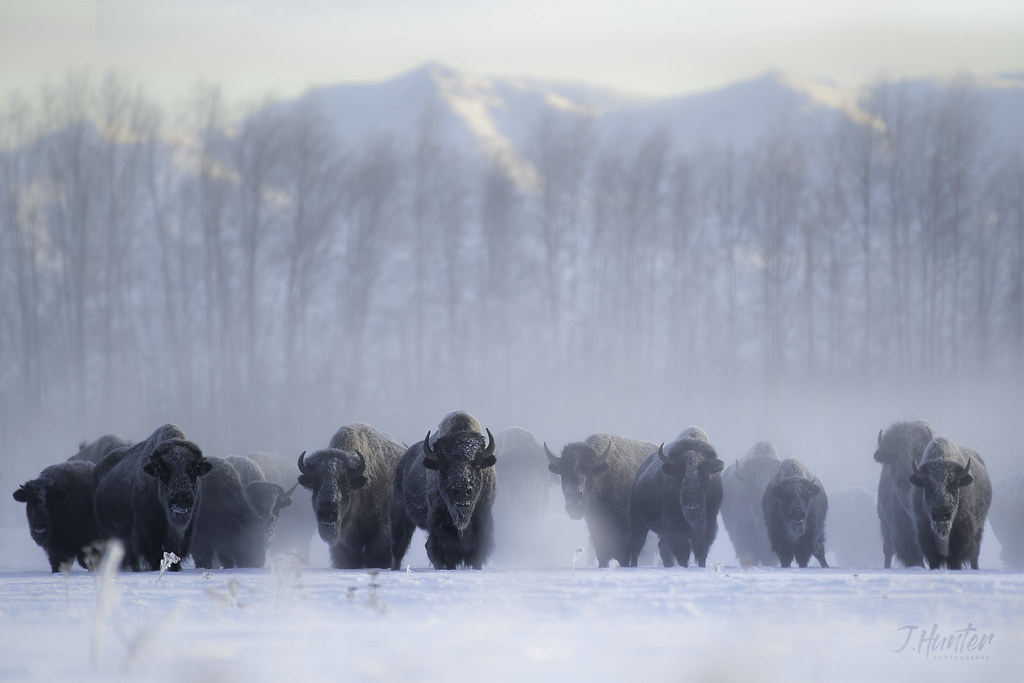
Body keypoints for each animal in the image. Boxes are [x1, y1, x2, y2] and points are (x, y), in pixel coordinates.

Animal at [390, 411, 497, 570]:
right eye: (444, 464)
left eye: (477, 463)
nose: (462, 490)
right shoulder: (439, 524)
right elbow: (442, 550)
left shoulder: (483, 517)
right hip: (400, 516)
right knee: (399, 548)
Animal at [546, 433, 656, 568]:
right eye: (563, 472)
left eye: (589, 471)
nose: (574, 494)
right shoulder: (595, 526)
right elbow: (602, 552)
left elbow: (625, 552)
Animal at [628, 428, 724, 567]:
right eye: (680, 474)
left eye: (705, 474)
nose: (692, 502)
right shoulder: (675, 527)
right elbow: (683, 552)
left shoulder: (709, 525)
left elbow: (701, 551)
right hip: (637, 523)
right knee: (636, 547)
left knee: (661, 546)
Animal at [909, 436, 992, 570]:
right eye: (928, 485)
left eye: (953, 484)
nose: (941, 514)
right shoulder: (924, 533)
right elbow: (934, 560)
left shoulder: (962, 537)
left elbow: (955, 560)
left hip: (978, 531)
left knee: (974, 557)